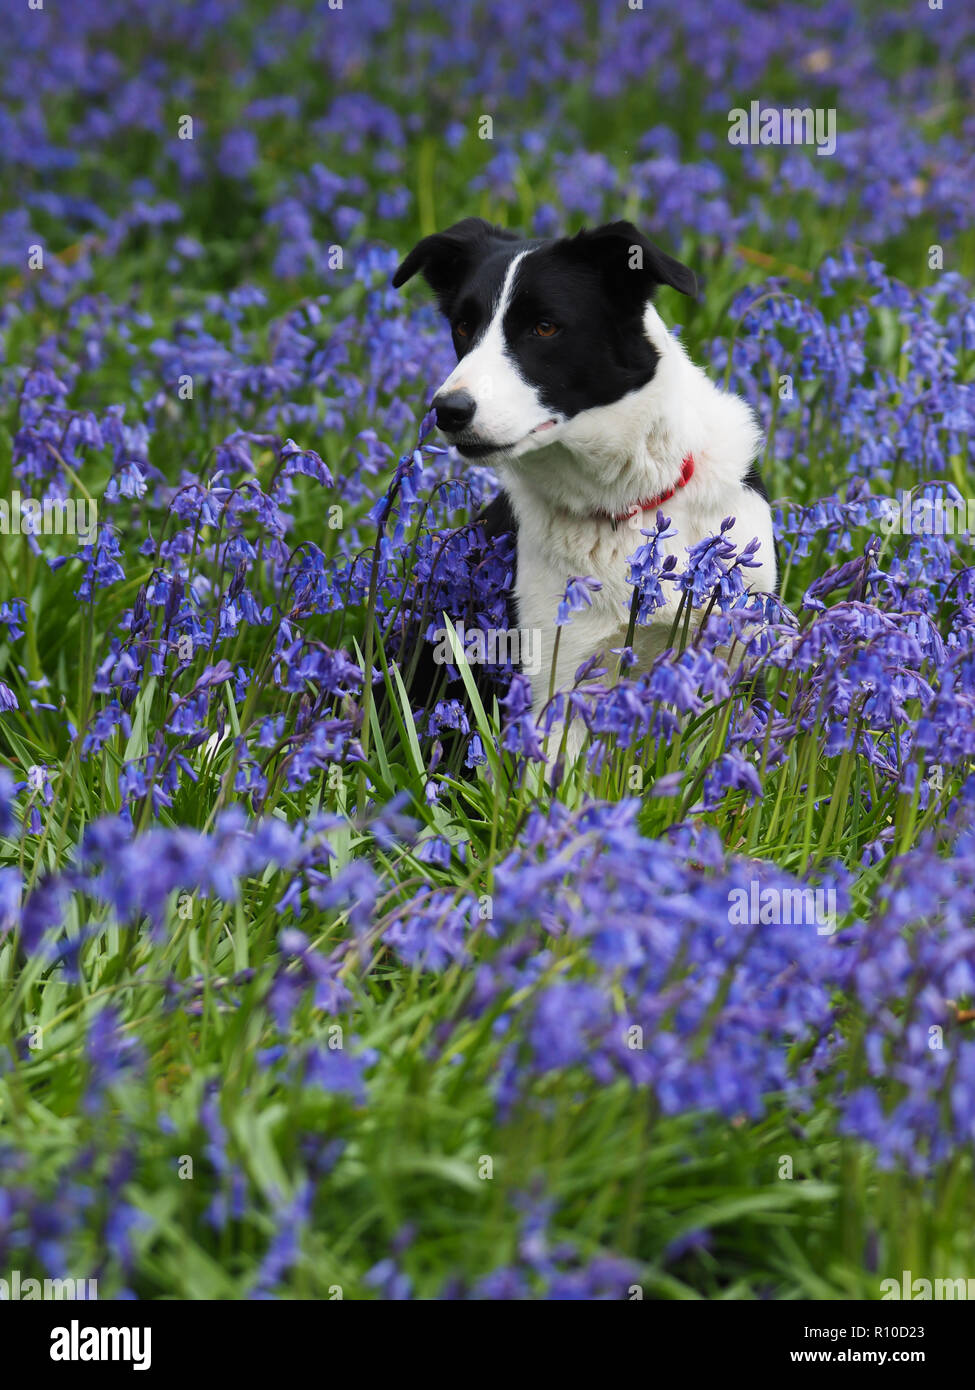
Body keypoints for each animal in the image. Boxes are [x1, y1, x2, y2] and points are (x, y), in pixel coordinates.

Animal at [392, 219, 778, 761]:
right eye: (464, 327)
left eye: (545, 327)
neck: (627, 501)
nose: (447, 410)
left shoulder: (732, 662)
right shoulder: (561, 682)